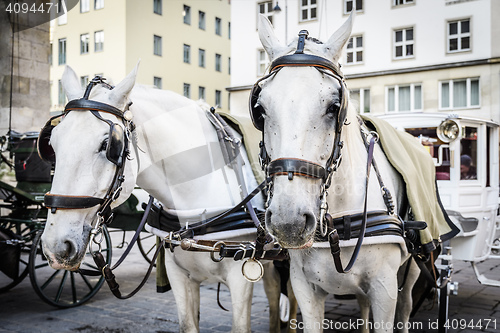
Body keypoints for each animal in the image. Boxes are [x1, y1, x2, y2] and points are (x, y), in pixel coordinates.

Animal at [41, 65, 292, 332]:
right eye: (52, 143)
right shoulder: (179, 275)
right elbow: (188, 324)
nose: (55, 246)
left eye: (109, 144)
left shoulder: (241, 276)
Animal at [252, 14, 420, 330]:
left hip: (413, 268)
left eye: (334, 106)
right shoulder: (304, 288)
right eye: (260, 109)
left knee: (406, 307)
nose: (288, 222)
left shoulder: (385, 289)